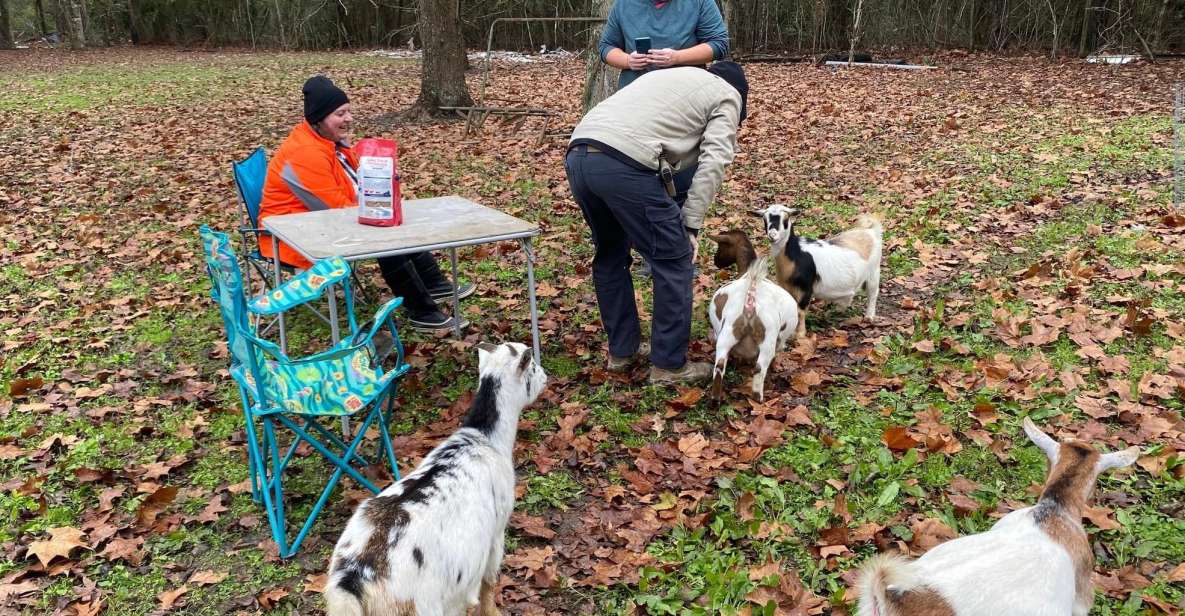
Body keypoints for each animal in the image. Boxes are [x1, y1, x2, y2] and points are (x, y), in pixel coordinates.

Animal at [324, 341, 545, 616]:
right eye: (532, 366)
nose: (545, 376)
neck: (485, 438)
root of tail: (353, 580)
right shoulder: (496, 532)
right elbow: (489, 581)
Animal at [706, 229, 801, 400]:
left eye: (721, 246)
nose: (716, 262)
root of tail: (750, 302)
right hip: (768, 339)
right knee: (760, 368)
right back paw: (758, 397)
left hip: (727, 334)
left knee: (719, 366)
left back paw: (715, 400)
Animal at [758, 204, 881, 336]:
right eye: (764, 219)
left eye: (786, 219)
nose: (772, 235)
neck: (796, 254)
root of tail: (871, 231)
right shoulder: (787, 287)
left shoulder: (806, 288)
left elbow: (800, 311)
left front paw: (800, 334)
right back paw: (838, 310)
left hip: (874, 271)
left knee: (873, 293)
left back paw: (869, 317)